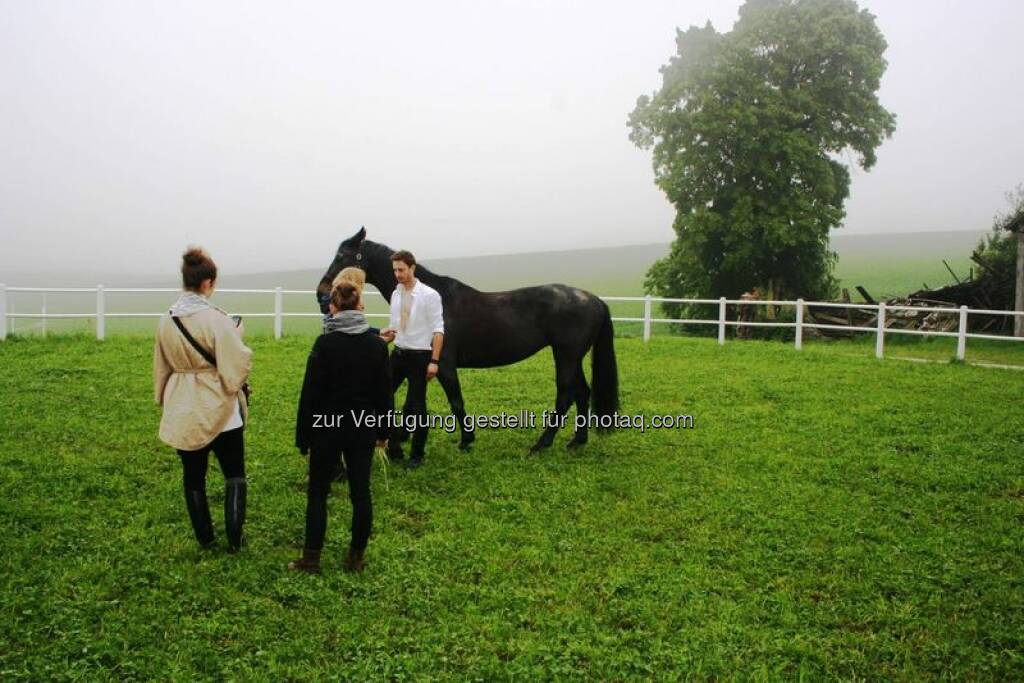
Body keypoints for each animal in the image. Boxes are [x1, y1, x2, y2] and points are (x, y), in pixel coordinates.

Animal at [313, 229, 614, 454]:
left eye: (342, 256)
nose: (321, 293)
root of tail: (594, 299)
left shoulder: (443, 364)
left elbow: (455, 400)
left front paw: (466, 440)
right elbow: (413, 402)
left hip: (566, 356)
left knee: (565, 396)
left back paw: (542, 444)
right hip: (572, 357)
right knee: (582, 393)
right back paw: (577, 441)